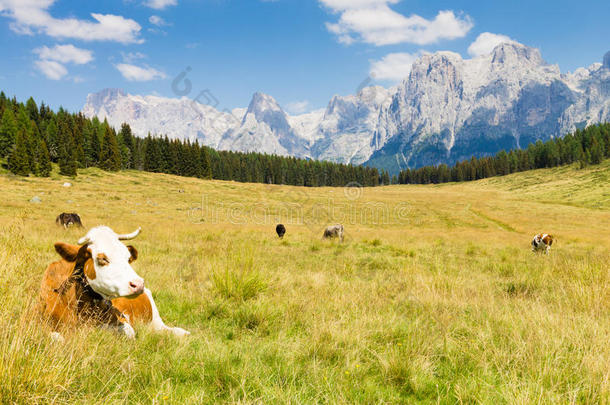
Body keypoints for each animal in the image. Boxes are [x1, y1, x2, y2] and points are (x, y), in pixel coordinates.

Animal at [40, 226, 188, 340]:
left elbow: (127, 331)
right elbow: (56, 337)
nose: (138, 284)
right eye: (102, 258)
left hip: (156, 320)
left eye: (128, 258)